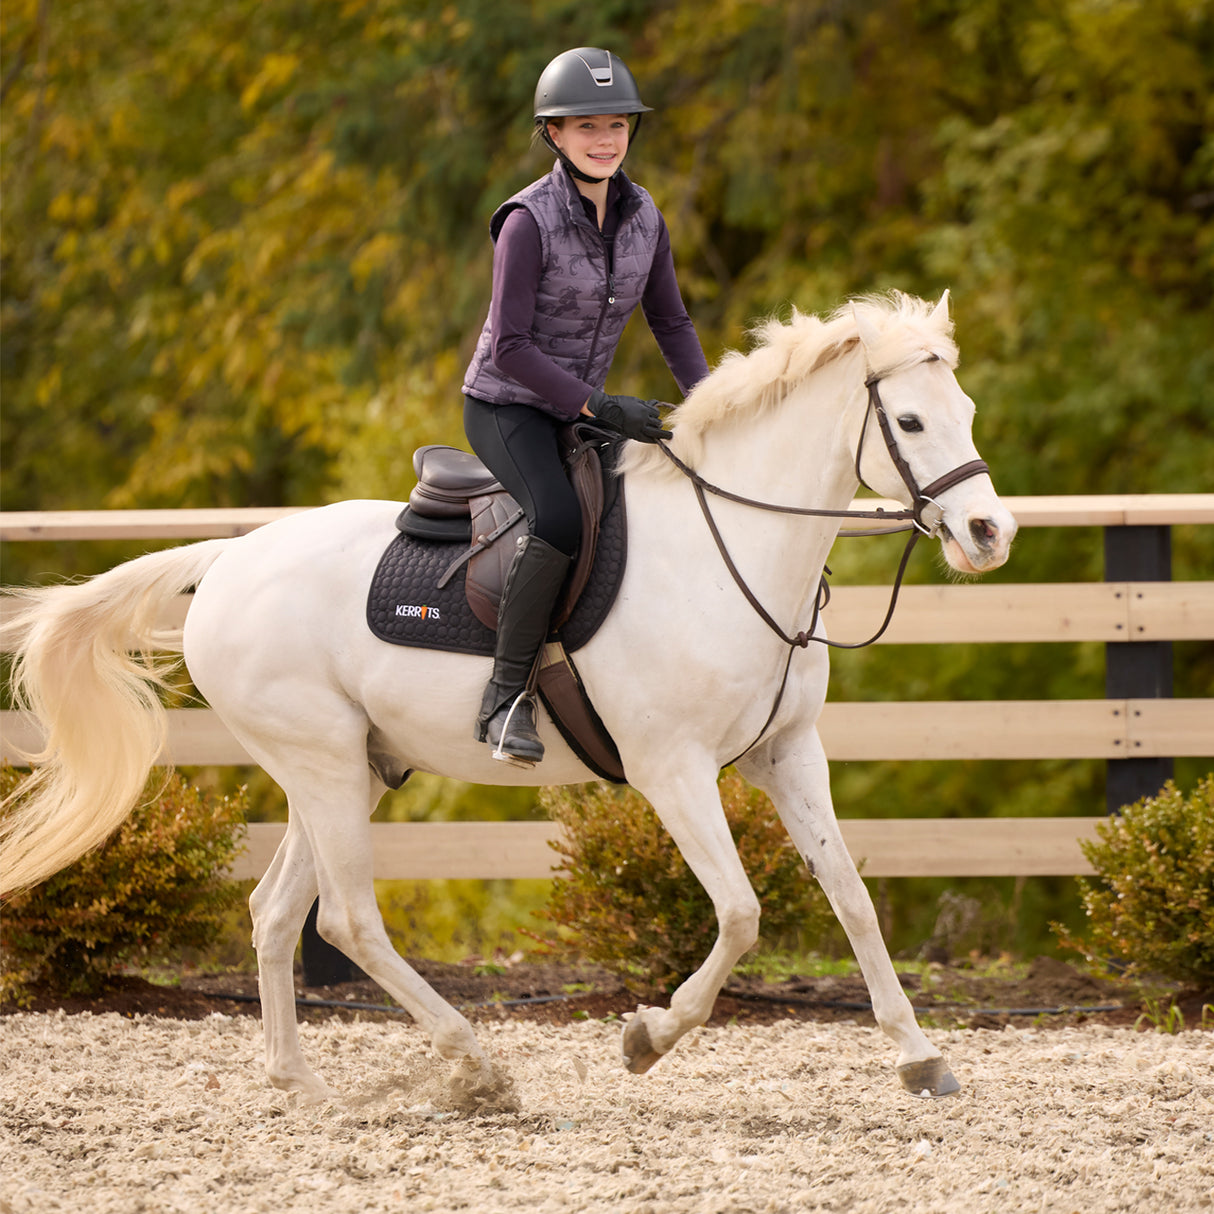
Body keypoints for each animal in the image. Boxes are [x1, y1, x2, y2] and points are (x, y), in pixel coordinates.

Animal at [1, 290, 1017, 1104]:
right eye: (911, 423)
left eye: (967, 409)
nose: (988, 532)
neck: (726, 551)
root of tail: (228, 559)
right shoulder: (673, 770)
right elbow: (739, 913)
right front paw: (647, 1038)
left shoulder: (787, 753)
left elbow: (851, 897)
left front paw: (919, 1057)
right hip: (322, 764)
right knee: (348, 917)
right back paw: (474, 1066)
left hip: (349, 770)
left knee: (277, 913)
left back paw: (304, 1085)